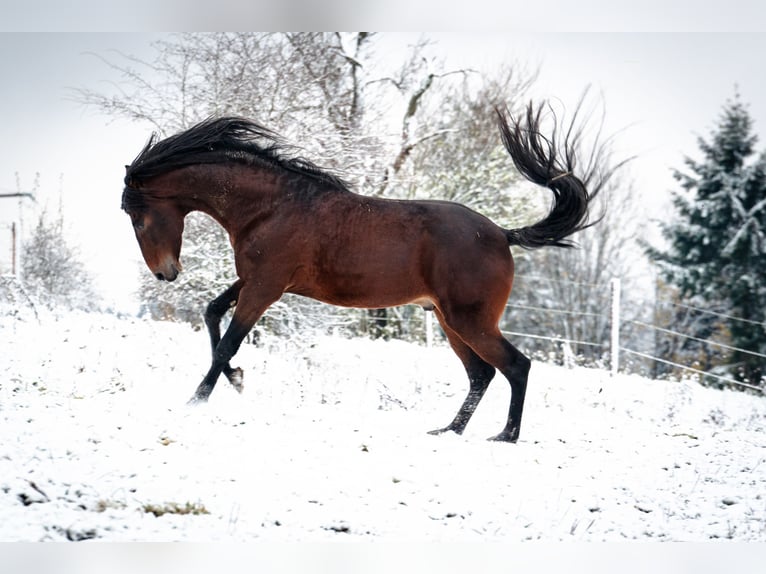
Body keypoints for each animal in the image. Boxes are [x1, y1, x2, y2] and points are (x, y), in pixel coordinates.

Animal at [121, 102, 600, 446]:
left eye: (136, 216)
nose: (166, 274)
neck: (272, 208)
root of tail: (502, 234)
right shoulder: (255, 282)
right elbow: (211, 313)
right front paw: (236, 380)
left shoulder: (265, 288)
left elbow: (225, 344)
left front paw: (195, 402)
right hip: (450, 321)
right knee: (481, 374)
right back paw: (449, 431)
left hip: (470, 320)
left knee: (516, 366)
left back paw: (505, 436)